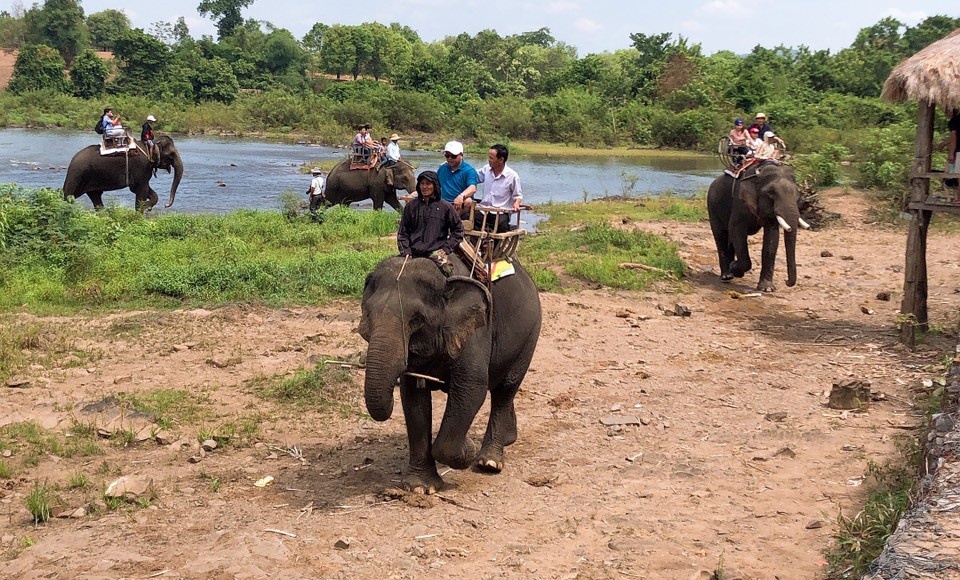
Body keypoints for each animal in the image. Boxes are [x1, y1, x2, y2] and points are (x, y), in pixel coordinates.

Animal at [360, 254, 540, 494]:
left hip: (529, 336)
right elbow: (413, 397)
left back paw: (489, 462)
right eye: (368, 314)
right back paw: (509, 439)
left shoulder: (475, 329)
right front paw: (421, 488)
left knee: (505, 389)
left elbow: (471, 388)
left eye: (417, 319)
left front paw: (468, 448)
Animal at [704, 162, 808, 290]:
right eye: (771, 192)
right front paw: (735, 267)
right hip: (712, 206)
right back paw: (727, 276)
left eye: (797, 193)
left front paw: (767, 288)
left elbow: (772, 238)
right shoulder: (739, 202)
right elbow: (736, 230)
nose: (786, 281)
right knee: (721, 236)